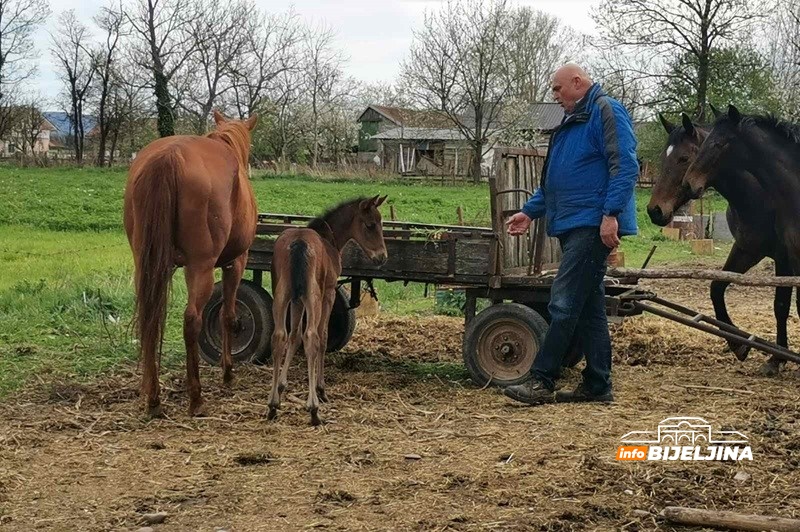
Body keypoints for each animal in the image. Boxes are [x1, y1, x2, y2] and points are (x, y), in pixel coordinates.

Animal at [124, 110, 260, 416]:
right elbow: (228, 316)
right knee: (191, 321)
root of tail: (169, 157)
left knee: (150, 319)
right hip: (201, 268)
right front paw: (227, 372)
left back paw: (153, 398)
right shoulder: (236, 262)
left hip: (146, 266)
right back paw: (195, 398)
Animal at [268, 195, 390, 424]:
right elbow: (322, 337)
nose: (382, 257)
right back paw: (314, 409)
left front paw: (281, 387)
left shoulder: (297, 299)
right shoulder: (329, 293)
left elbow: (294, 336)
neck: (328, 239)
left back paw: (272, 405)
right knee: (311, 336)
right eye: (370, 225)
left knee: (279, 336)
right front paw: (321, 389)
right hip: (313, 297)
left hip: (282, 295)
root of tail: (299, 242)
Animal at [648, 109, 792, 374]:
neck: (758, 195)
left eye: (684, 158)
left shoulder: (785, 258)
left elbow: (781, 306)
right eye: (664, 158)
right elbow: (716, 288)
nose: (655, 211)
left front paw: (776, 359)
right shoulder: (746, 249)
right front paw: (738, 345)